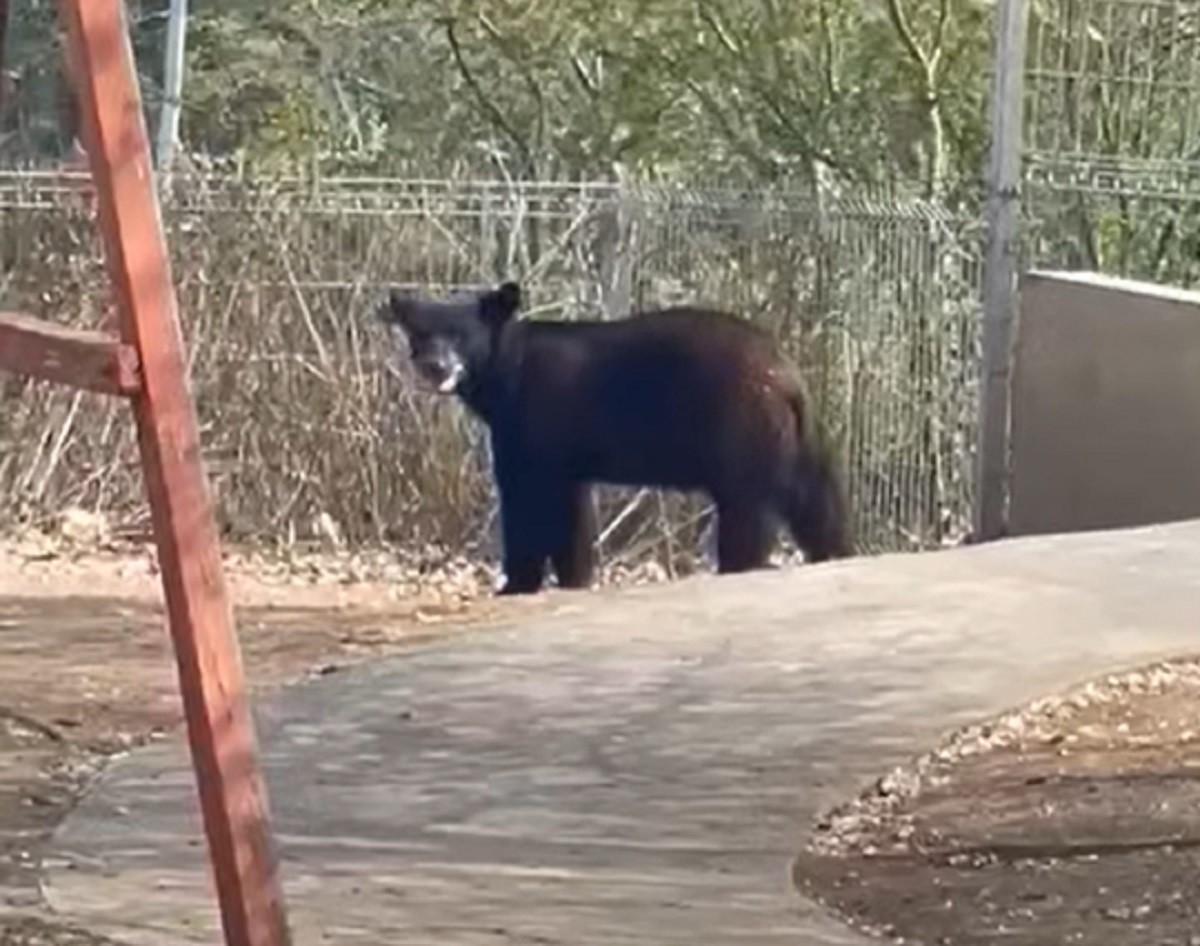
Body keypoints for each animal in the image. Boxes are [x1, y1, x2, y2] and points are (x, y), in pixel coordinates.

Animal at [379, 280, 849, 595]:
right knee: (817, 503)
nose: (435, 365)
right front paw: (574, 577)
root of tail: (785, 375)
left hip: (742, 428)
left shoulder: (532, 425)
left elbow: (527, 501)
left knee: (747, 509)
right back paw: (834, 552)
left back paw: (737, 565)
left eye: (460, 335)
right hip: (796, 441)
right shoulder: (564, 456)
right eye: (421, 334)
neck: (506, 374)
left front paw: (515, 583)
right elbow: (571, 513)